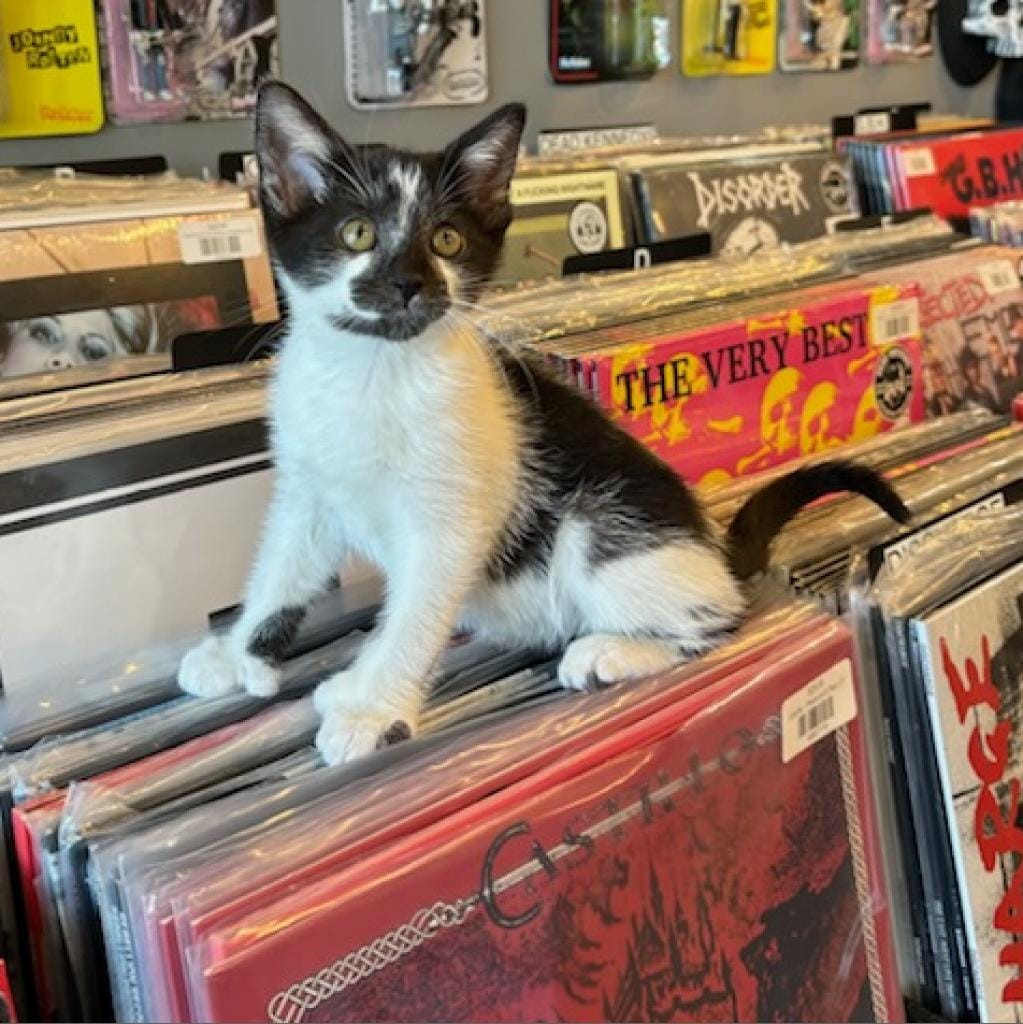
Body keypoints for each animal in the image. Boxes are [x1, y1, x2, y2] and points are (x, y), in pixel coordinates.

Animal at [178, 83, 913, 765]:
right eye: (357, 233)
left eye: (446, 240)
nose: (411, 284)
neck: (371, 372)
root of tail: (713, 549)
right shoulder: (307, 489)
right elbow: (280, 570)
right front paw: (236, 654)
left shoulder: (450, 519)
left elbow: (414, 613)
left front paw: (373, 706)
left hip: (601, 527)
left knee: (713, 616)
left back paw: (612, 650)